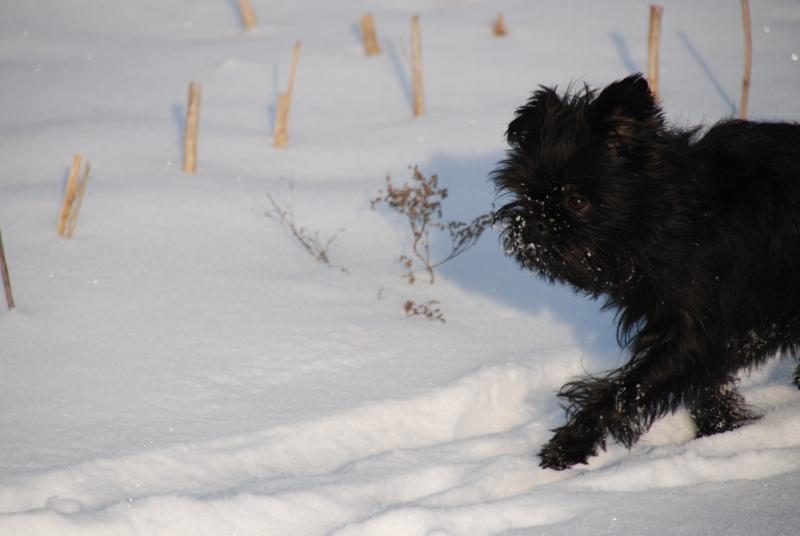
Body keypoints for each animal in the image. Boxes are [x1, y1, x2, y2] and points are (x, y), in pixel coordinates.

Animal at [492, 73, 800, 470]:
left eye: (577, 201)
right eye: (527, 193)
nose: (538, 224)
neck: (677, 214)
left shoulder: (695, 331)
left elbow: (627, 390)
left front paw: (570, 443)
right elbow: (706, 384)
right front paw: (718, 427)